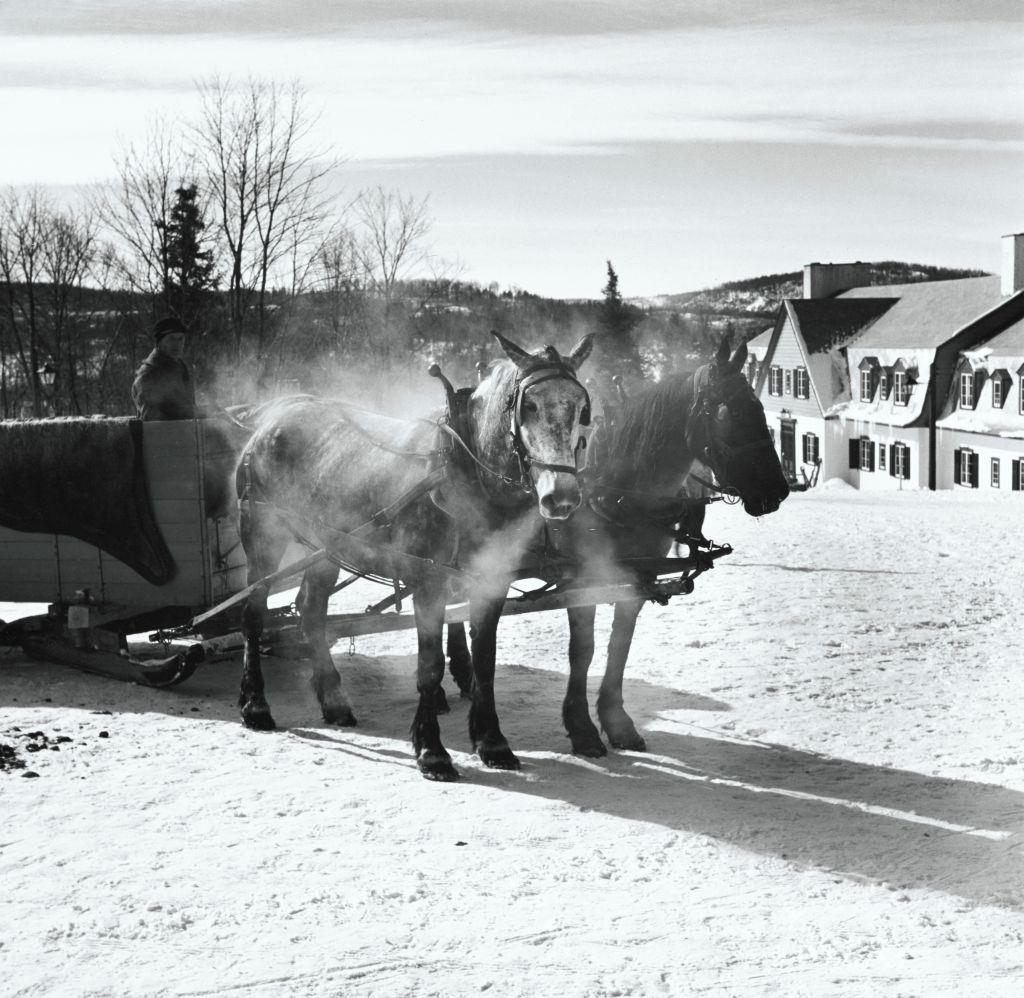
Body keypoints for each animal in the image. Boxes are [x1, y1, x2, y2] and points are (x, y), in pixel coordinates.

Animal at [234, 333, 593, 782]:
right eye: (528, 406)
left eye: (580, 408)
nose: (561, 497)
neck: (465, 476)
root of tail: (274, 413)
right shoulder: (429, 584)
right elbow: (430, 666)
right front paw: (432, 751)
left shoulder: (490, 582)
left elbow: (485, 663)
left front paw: (491, 742)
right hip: (262, 534)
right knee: (254, 614)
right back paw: (255, 705)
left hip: (325, 547)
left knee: (311, 609)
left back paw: (334, 700)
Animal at [552, 337, 790, 757]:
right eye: (728, 413)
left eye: (761, 408)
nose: (776, 490)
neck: (614, 492)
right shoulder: (582, 580)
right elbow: (584, 650)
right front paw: (580, 726)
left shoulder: (638, 577)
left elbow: (620, 644)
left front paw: (616, 720)